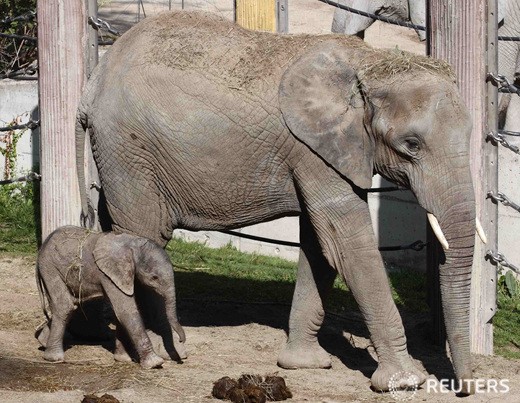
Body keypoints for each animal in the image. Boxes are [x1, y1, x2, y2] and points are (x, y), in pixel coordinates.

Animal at [36, 226, 185, 370]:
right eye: (154, 277)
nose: (181, 341)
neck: (133, 244)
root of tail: (42, 248)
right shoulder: (109, 272)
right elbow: (126, 311)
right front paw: (155, 363)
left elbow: (120, 312)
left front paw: (123, 359)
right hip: (50, 267)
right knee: (65, 305)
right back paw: (54, 358)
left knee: (68, 305)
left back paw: (43, 342)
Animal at [75, 10, 486, 394]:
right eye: (411, 145)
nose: (465, 387)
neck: (370, 64)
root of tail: (91, 85)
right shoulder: (313, 149)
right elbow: (346, 243)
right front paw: (406, 381)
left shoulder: (318, 152)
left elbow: (321, 244)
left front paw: (303, 364)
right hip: (129, 149)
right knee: (144, 235)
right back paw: (157, 353)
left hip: (118, 154)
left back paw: (120, 347)